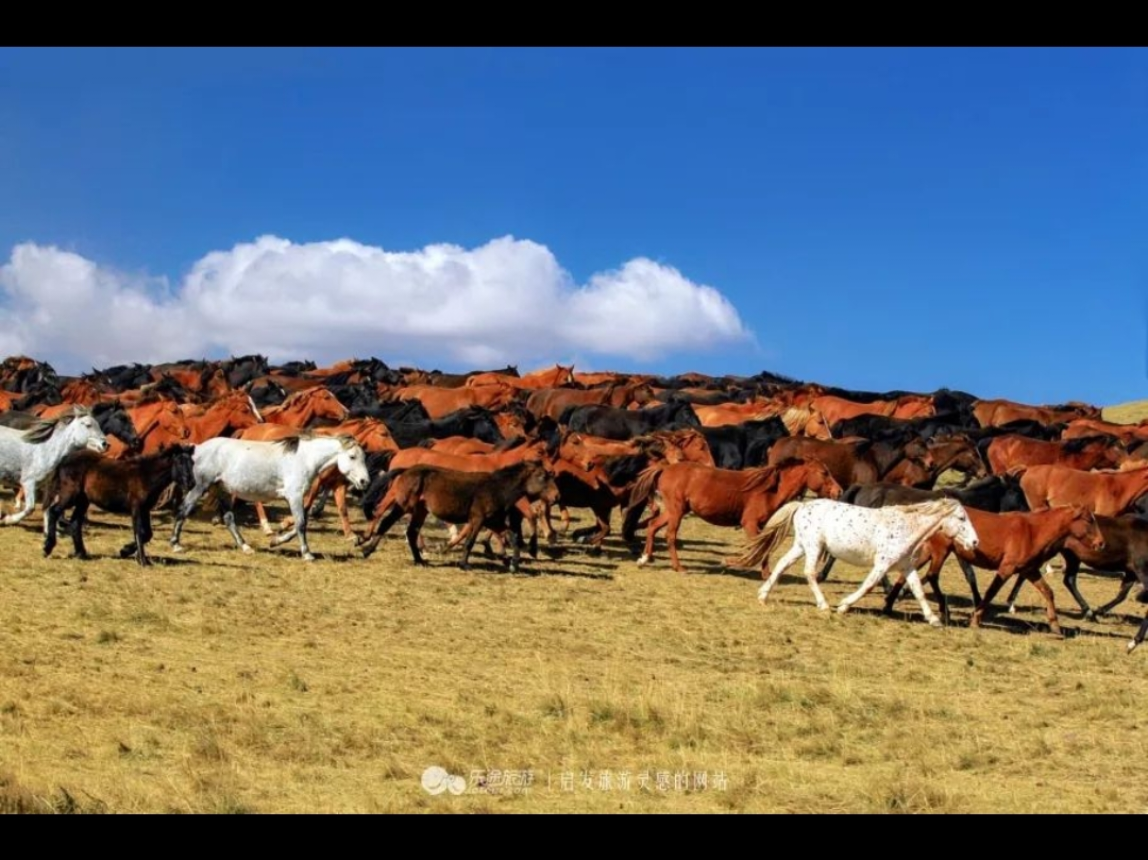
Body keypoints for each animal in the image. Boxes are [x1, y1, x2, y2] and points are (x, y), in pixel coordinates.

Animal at [167, 431, 367, 560]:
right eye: (352, 457)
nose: (364, 481)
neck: (304, 459)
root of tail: (197, 448)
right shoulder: (294, 495)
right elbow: (301, 523)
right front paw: (307, 554)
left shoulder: (299, 496)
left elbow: (301, 521)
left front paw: (275, 541)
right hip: (200, 486)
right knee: (184, 510)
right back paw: (176, 544)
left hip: (220, 489)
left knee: (229, 518)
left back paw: (246, 547)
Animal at [619, 456, 844, 569]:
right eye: (824, 473)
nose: (839, 491)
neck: (769, 489)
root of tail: (665, 469)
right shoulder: (749, 523)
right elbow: (759, 550)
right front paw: (734, 563)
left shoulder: (760, 526)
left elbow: (762, 549)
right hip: (676, 511)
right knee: (669, 535)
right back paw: (679, 568)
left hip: (675, 510)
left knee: (652, 527)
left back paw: (644, 559)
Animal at [725, 493, 978, 629]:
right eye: (961, 518)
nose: (975, 542)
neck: (905, 527)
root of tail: (802, 505)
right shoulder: (882, 564)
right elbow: (868, 586)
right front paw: (844, 606)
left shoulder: (906, 566)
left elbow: (918, 590)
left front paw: (934, 619)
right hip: (814, 547)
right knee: (809, 573)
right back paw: (824, 605)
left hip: (801, 546)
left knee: (781, 565)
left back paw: (763, 596)